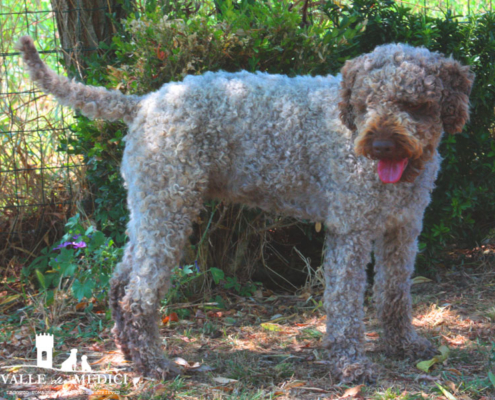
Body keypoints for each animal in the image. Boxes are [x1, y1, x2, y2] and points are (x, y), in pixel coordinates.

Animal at [17, 35, 474, 382]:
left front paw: (403, 345)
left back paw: (132, 354)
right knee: (138, 296)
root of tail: (145, 102)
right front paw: (350, 364)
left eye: (414, 104)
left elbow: (395, 292)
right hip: (169, 208)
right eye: (365, 103)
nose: (379, 145)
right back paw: (154, 365)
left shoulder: (404, 228)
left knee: (119, 282)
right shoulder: (352, 229)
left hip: (150, 207)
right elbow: (345, 304)